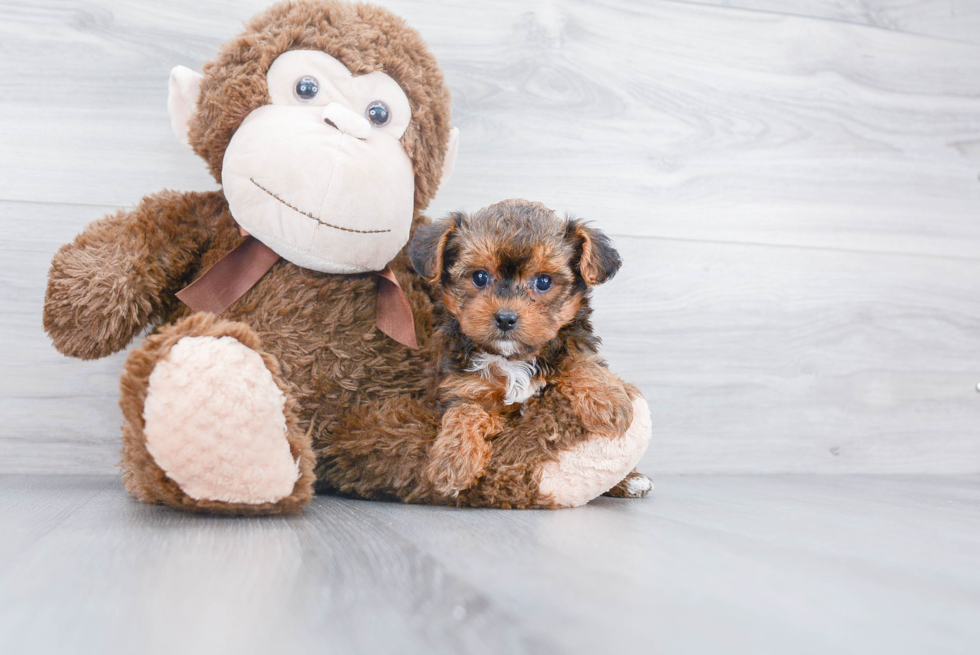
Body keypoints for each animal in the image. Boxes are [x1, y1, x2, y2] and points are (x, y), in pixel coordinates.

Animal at [406, 199, 644, 498]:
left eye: (543, 281)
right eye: (480, 277)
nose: (505, 318)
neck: (512, 359)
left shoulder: (570, 346)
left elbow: (582, 360)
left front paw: (608, 402)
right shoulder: (463, 388)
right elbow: (464, 412)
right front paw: (453, 460)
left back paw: (630, 480)